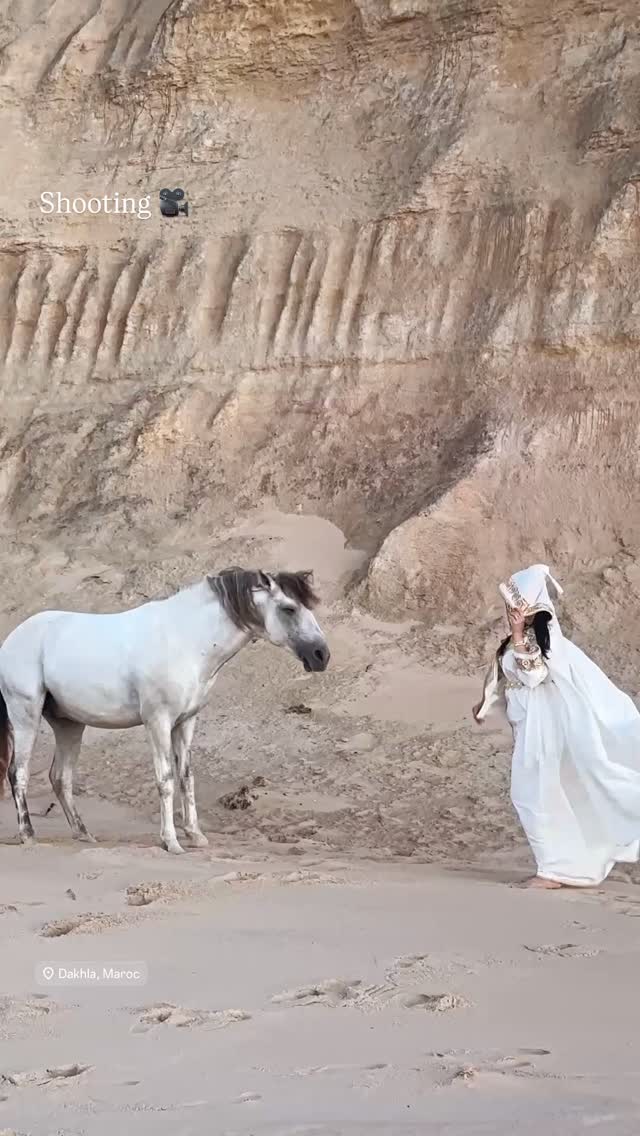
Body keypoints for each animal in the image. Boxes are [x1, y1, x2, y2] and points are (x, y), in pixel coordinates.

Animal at [0, 567, 330, 854]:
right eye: (289, 608)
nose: (321, 655)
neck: (187, 641)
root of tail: (13, 639)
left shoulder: (186, 722)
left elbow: (186, 777)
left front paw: (195, 835)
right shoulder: (158, 721)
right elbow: (166, 779)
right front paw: (171, 841)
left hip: (69, 724)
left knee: (60, 777)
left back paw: (83, 834)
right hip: (26, 715)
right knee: (19, 772)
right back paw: (28, 834)